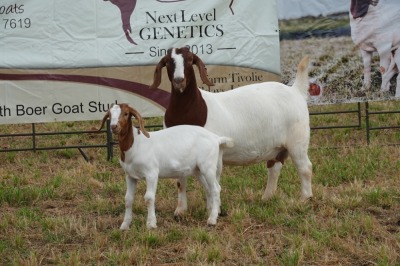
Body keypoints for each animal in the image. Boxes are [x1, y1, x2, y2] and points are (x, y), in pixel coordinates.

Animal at [150, 47, 312, 202]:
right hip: (277, 146)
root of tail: (295, 90)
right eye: (167, 61)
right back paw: (266, 198)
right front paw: (180, 209)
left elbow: (212, 184)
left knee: (305, 168)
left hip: (298, 140)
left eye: (190, 60)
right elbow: (180, 182)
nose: (179, 80)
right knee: (274, 168)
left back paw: (304, 199)